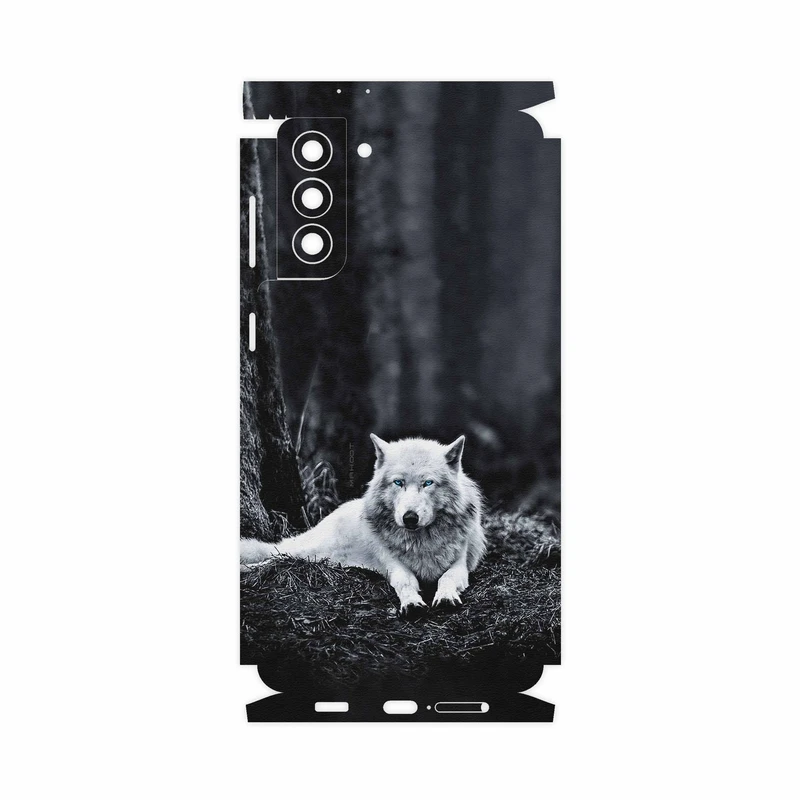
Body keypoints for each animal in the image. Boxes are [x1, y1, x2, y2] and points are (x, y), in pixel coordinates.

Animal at [240, 434, 486, 617]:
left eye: (428, 483)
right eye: (398, 482)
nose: (410, 518)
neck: (421, 542)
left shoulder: (460, 564)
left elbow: (447, 578)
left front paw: (445, 597)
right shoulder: (393, 564)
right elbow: (405, 581)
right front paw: (411, 603)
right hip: (308, 551)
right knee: (276, 555)